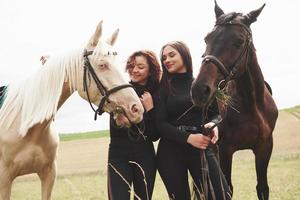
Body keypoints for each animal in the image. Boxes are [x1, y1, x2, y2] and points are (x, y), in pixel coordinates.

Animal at [191, 1, 278, 200]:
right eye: (207, 39)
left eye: (238, 41)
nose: (199, 90)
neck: (252, 105)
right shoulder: (225, 150)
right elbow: (227, 189)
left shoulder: (264, 148)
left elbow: (262, 188)